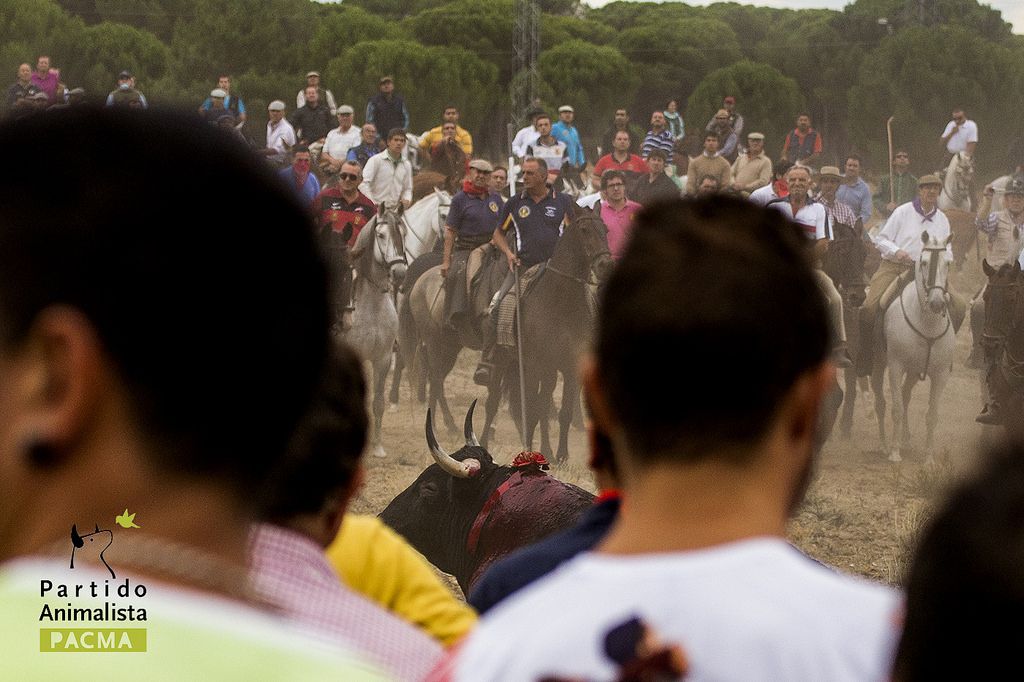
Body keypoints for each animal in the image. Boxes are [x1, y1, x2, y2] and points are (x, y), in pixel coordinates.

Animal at [479, 208, 614, 462]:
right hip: (504, 361)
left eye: (606, 230)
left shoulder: (570, 366)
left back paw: (548, 451)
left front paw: (561, 455)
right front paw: (530, 450)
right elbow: (532, 409)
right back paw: (483, 443)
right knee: (493, 402)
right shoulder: (536, 364)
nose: (605, 265)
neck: (561, 300)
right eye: (584, 230)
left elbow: (563, 412)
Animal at [872, 232, 958, 462]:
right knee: (881, 402)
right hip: (879, 366)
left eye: (948, 263)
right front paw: (894, 453)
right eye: (925, 262)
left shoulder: (941, 375)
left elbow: (932, 415)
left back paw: (906, 440)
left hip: (913, 371)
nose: (937, 303)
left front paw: (928, 458)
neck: (926, 323)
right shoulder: (895, 366)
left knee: (905, 395)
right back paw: (883, 444)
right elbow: (897, 409)